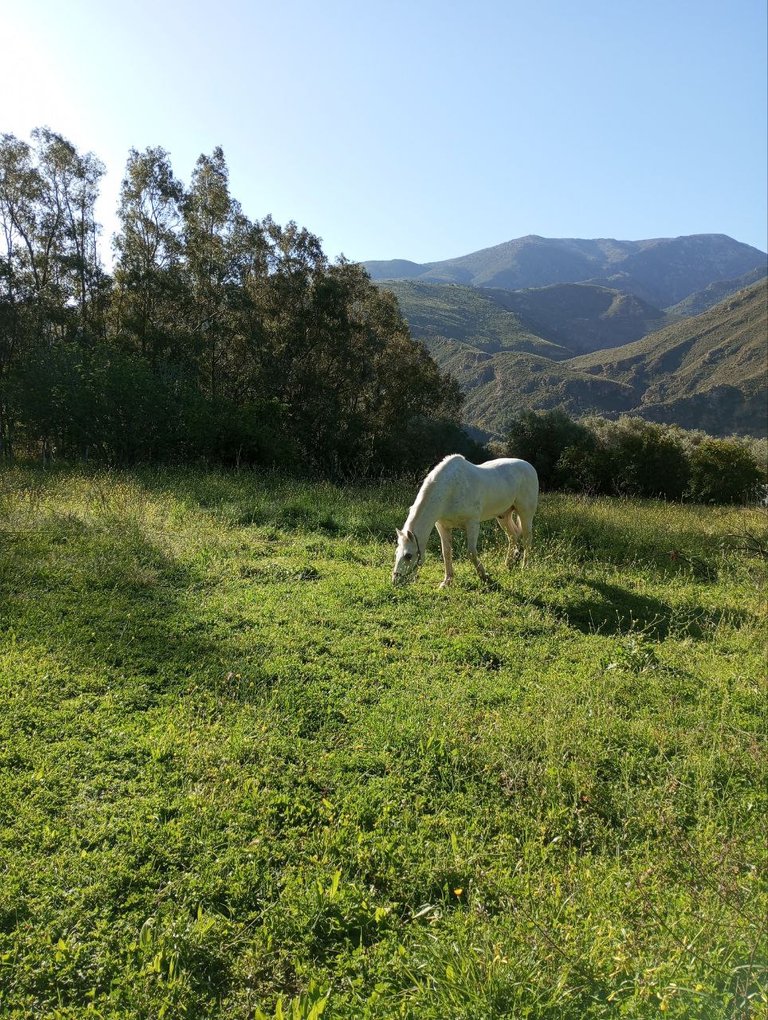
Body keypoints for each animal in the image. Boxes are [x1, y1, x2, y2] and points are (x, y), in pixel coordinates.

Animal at [391, 456, 534, 591]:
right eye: (396, 553)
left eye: (408, 556)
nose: (395, 581)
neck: (451, 489)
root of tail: (528, 466)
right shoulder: (442, 526)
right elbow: (446, 552)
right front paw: (447, 581)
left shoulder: (472, 524)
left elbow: (471, 552)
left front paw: (485, 577)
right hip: (503, 515)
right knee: (513, 536)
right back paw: (508, 565)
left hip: (525, 514)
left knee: (527, 540)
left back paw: (525, 567)